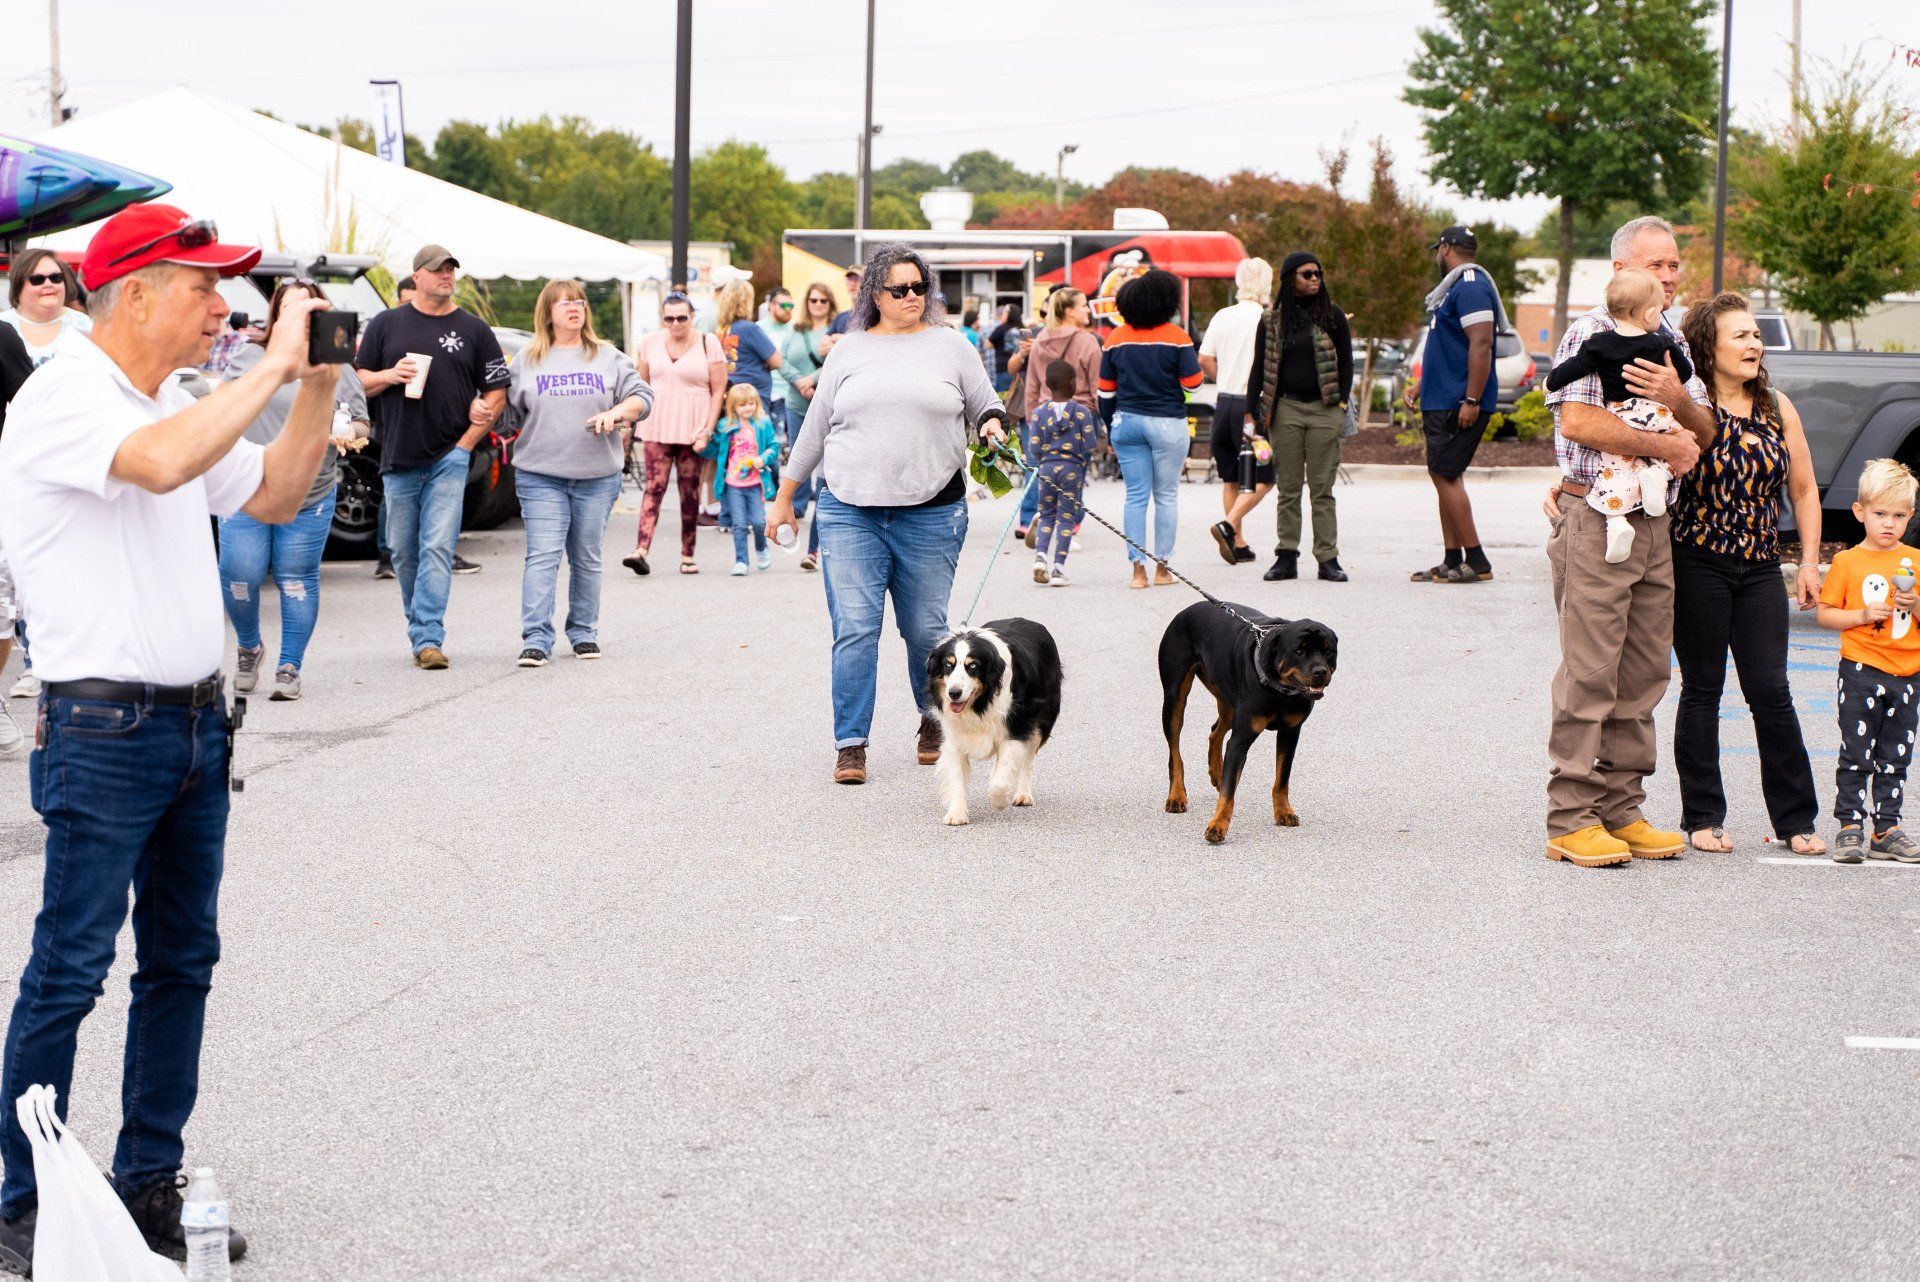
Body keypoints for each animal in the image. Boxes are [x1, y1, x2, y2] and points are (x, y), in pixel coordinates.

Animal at [927, 618, 1063, 826]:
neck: (980, 702)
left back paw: (1023, 795)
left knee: (1028, 759)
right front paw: (957, 813)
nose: (954, 693)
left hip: (1041, 717)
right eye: (948, 665)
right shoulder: (954, 735)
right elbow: (956, 775)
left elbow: (999, 780)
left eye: (973, 666)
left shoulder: (1015, 730)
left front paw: (999, 801)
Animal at [1157, 602, 1338, 844]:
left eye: (1328, 652)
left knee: (1215, 731)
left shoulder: (1290, 733)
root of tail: (1190, 608)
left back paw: (1218, 772)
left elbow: (1282, 779)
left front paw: (1284, 811)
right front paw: (1217, 826)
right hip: (1175, 698)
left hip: (1227, 699)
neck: (1279, 691)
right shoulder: (1241, 739)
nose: (1321, 672)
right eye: (1299, 651)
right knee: (1175, 751)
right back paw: (1177, 795)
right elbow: (1228, 793)